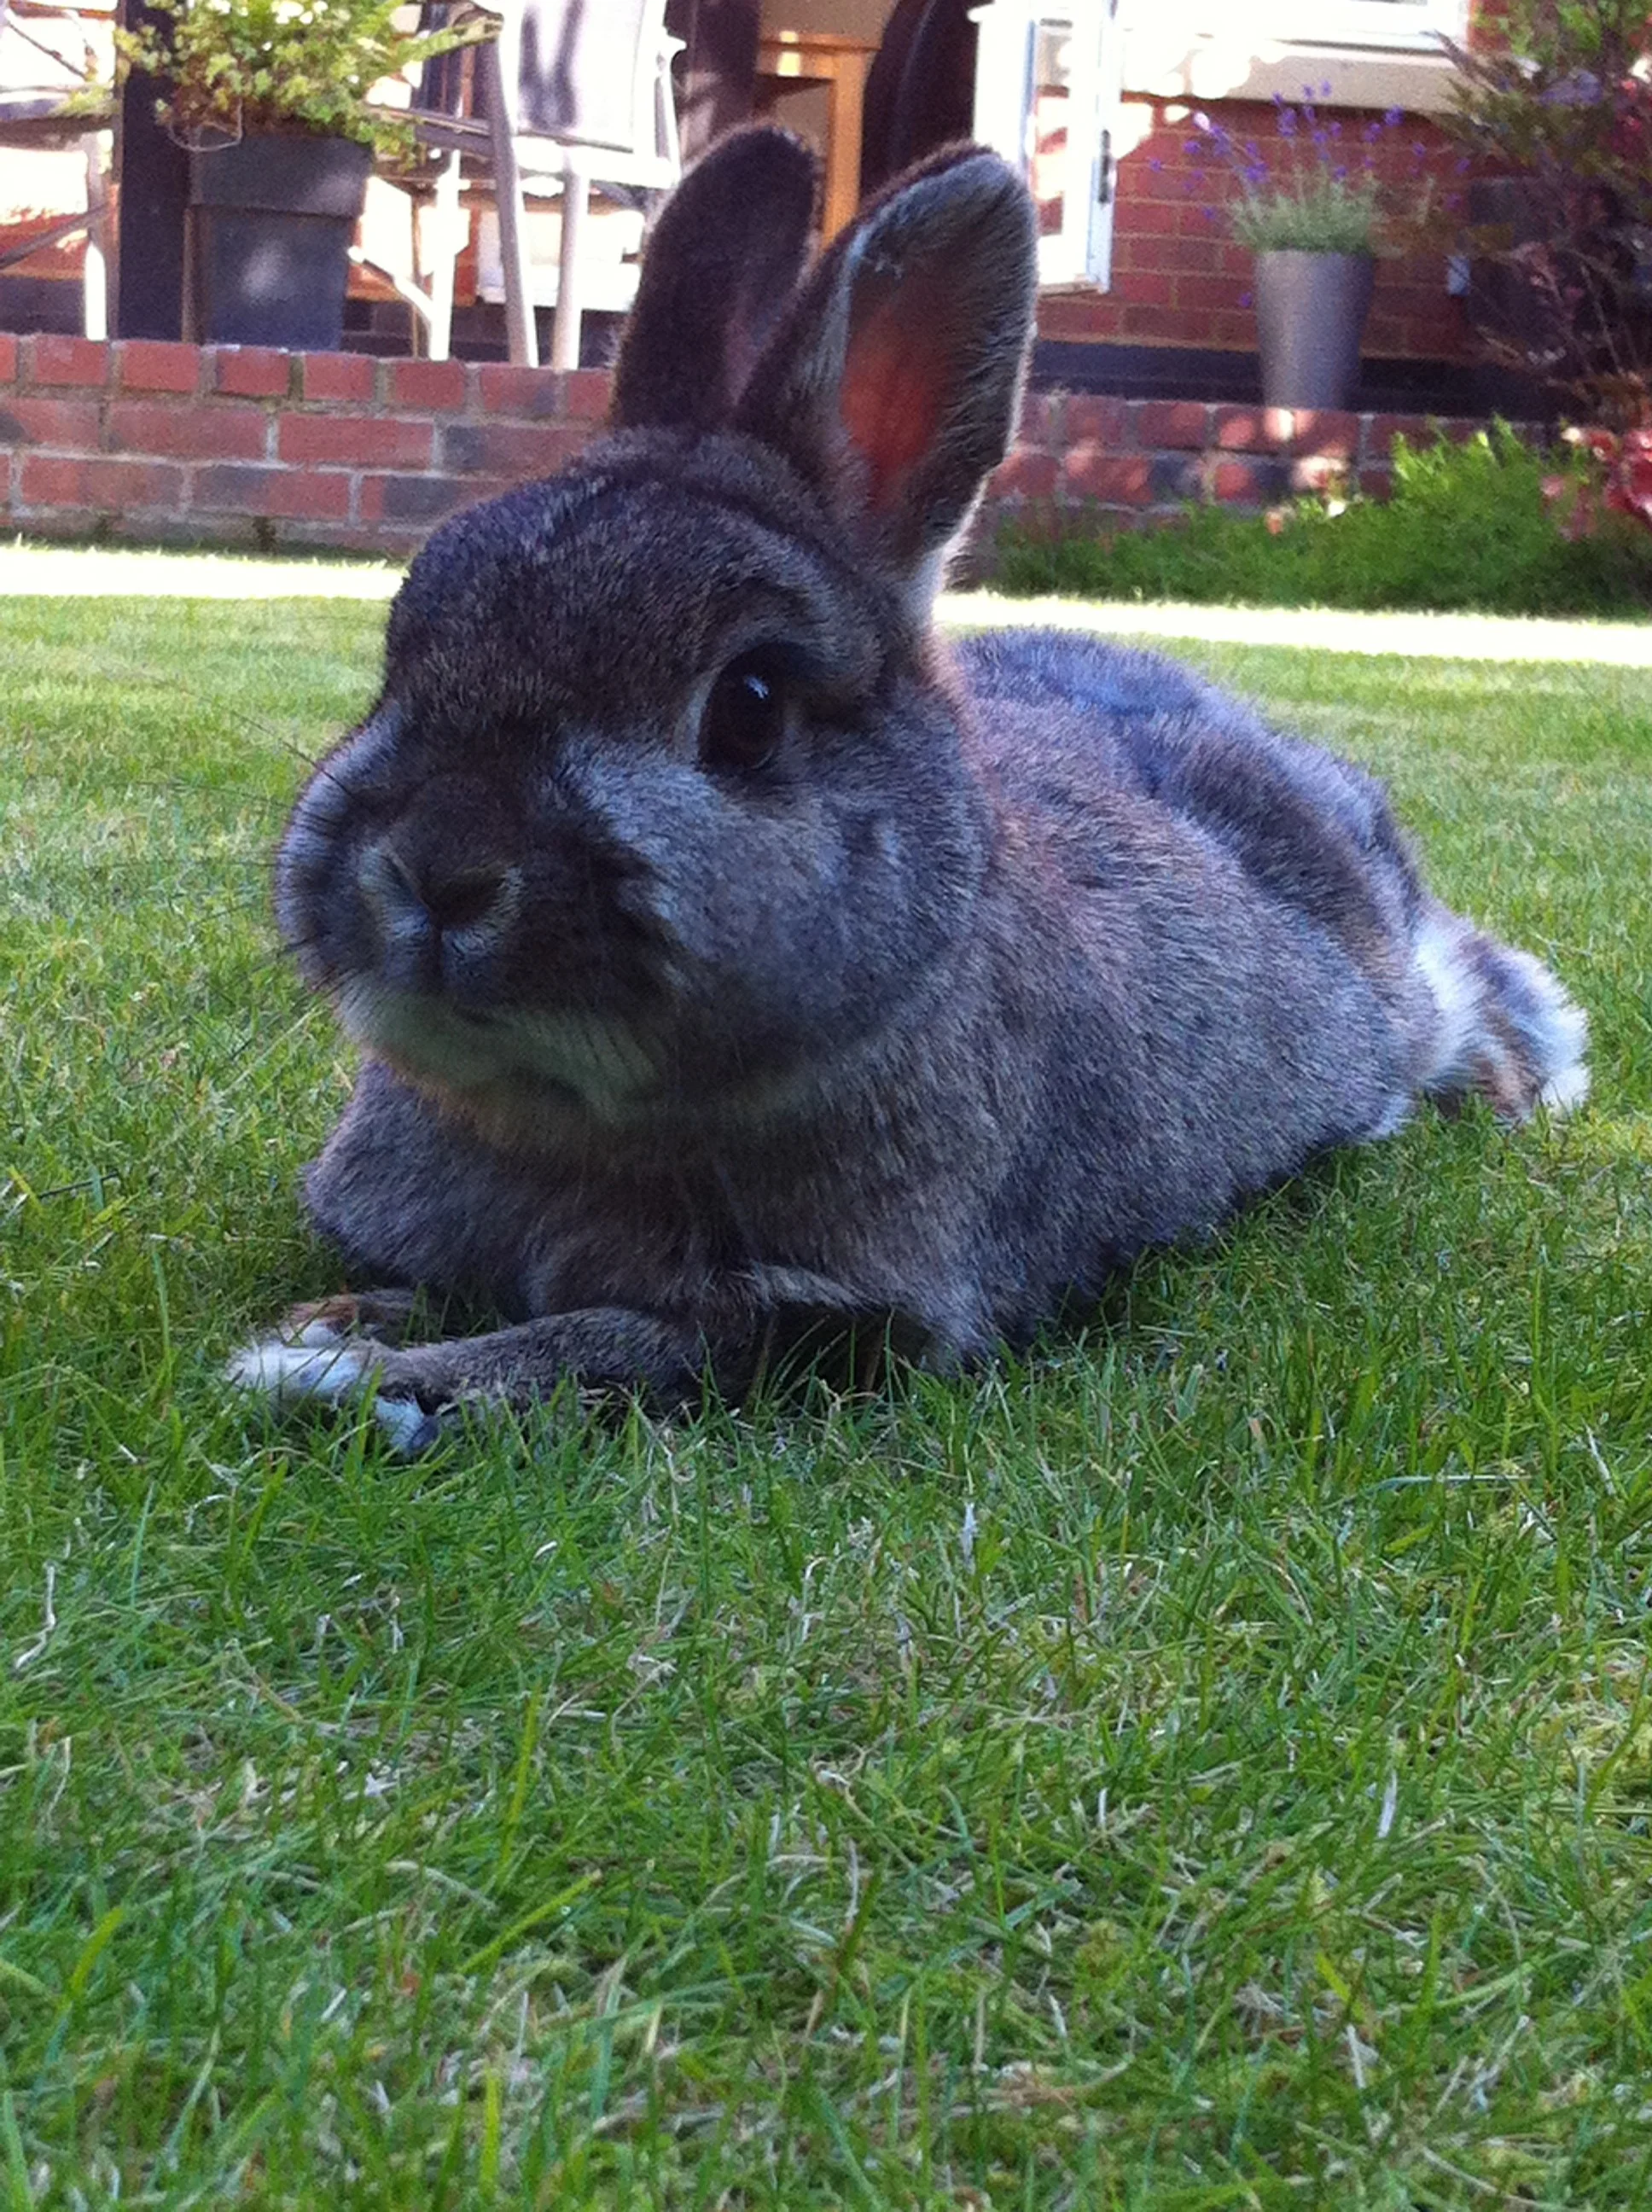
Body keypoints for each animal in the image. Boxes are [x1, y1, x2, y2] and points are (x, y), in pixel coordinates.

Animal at [229, 126, 1588, 1450]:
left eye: (749, 706)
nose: (439, 870)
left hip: (1402, 990)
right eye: (404, 643)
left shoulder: (838, 1318)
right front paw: (331, 1324)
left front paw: (341, 1378)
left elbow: (601, 1347)